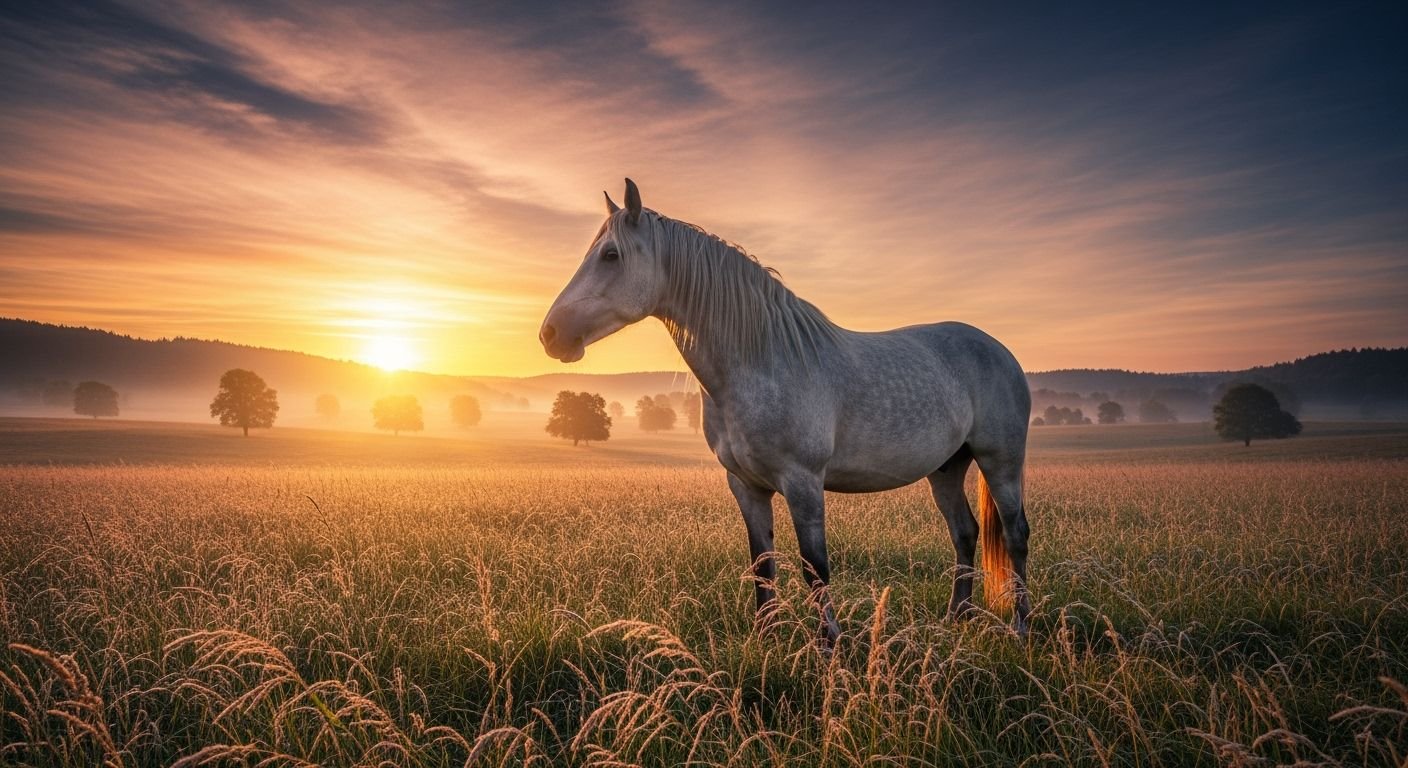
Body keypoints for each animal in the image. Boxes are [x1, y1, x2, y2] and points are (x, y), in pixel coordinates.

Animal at [539, 179, 1033, 641]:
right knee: (964, 532)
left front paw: (829, 646)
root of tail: (999, 349)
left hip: (1000, 461)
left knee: (1016, 534)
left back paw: (1021, 627)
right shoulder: (746, 486)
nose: (550, 334)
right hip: (947, 467)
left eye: (610, 255)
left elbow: (815, 566)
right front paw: (766, 639)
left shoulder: (803, 482)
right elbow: (762, 564)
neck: (762, 362)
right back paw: (956, 618)